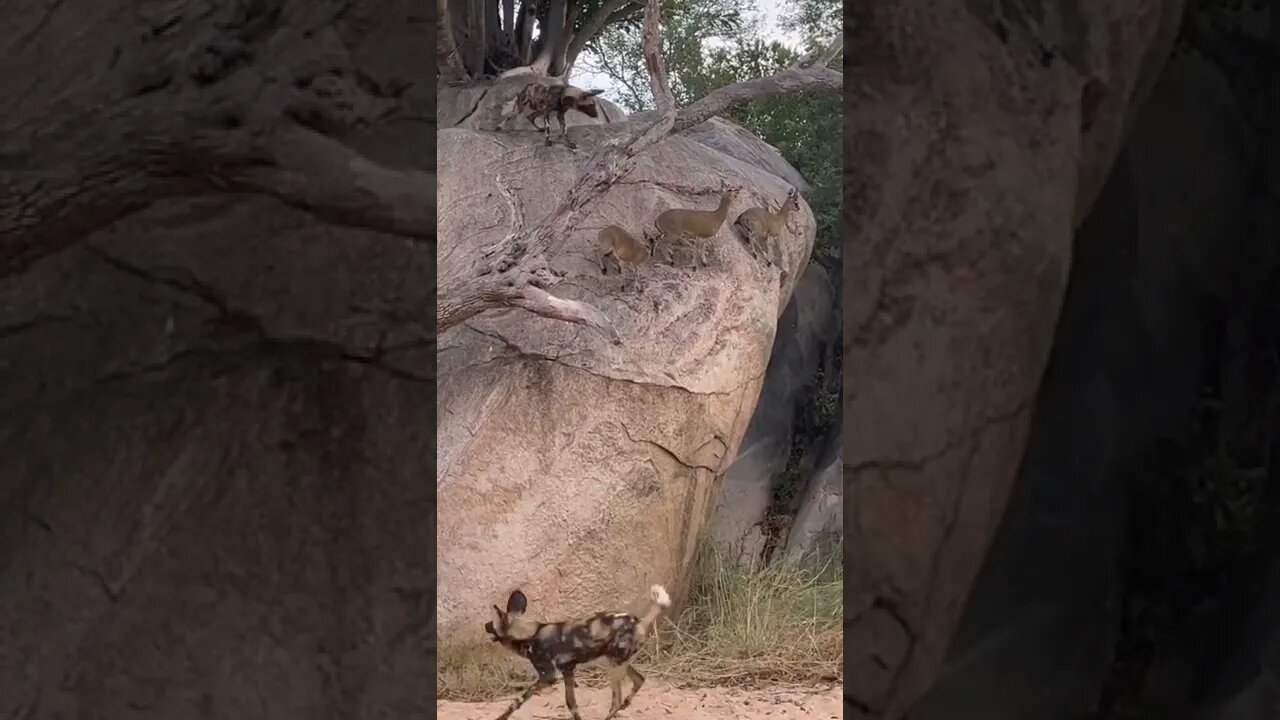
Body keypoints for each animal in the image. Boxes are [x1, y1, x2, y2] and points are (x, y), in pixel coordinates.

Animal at [483, 584, 675, 717]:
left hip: (613, 667)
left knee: (616, 701)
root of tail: (640, 621)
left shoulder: (548, 677)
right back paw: (626, 704)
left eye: (492, 624)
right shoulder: (568, 671)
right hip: (614, 662)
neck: (530, 633)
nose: (485, 625)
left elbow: (518, 701)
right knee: (639, 680)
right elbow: (571, 704)